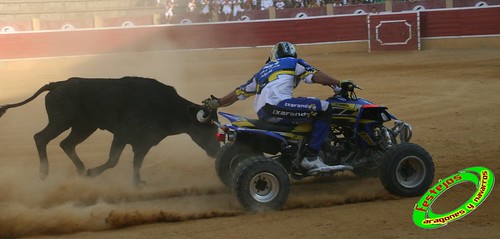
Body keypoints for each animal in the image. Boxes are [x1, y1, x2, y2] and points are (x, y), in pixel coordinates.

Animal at [0, 76, 219, 185]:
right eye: (207, 129)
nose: (217, 150)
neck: (167, 107)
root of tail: (58, 84)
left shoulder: (145, 142)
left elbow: (137, 163)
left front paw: (138, 182)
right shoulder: (122, 135)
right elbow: (113, 160)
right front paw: (93, 172)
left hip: (84, 126)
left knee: (66, 144)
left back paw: (80, 170)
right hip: (61, 121)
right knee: (41, 138)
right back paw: (45, 173)